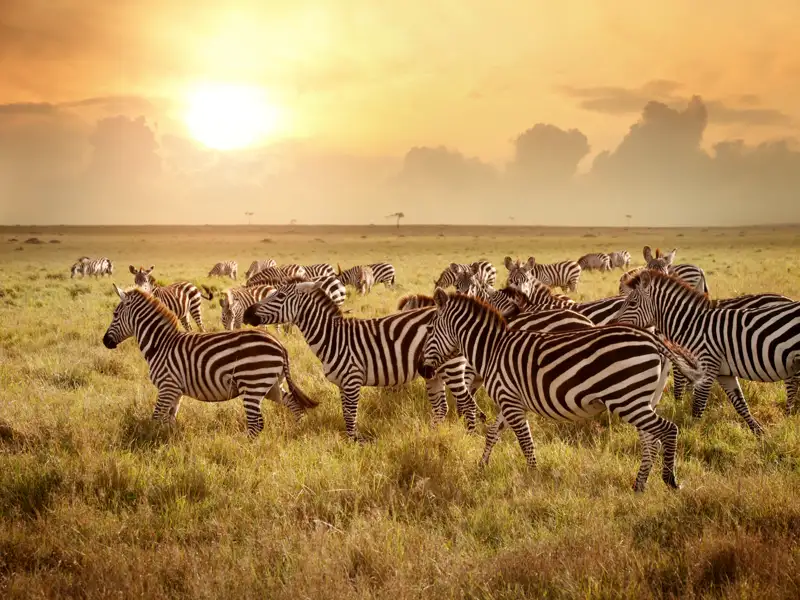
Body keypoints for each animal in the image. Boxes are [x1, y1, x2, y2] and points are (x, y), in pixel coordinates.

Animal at [103, 285, 318, 436]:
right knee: (293, 404)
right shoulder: (175, 390)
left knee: (256, 423)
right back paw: (297, 430)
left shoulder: (167, 386)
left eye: (115, 314)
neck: (161, 344)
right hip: (271, 384)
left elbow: (156, 418)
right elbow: (169, 419)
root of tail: (280, 345)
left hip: (252, 384)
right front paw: (167, 442)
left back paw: (243, 448)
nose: (105, 341)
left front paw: (151, 442)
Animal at [241, 281, 480, 437]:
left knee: (467, 404)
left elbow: (350, 416)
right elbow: (346, 414)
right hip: (434, 373)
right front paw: (351, 443)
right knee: (441, 408)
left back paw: (469, 436)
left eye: (279, 297)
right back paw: (432, 436)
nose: (246, 314)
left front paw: (355, 444)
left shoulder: (352, 379)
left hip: (451, 367)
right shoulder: (342, 384)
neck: (333, 338)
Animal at [419, 289, 703, 492]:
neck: (493, 350)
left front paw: (533, 479)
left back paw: (670, 480)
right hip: (642, 400)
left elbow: (526, 443)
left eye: (430, 329)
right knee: (651, 440)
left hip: (628, 399)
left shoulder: (510, 401)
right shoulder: (509, 401)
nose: (423, 370)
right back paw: (639, 486)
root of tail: (654, 339)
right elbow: (492, 433)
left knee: (668, 430)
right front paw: (481, 466)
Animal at [614, 271, 800, 431]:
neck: (692, 325)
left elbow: (697, 406)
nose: (613, 324)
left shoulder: (706, 367)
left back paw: (787, 419)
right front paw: (760, 433)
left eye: (632, 303)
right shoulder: (723, 372)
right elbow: (740, 404)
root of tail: (786, 299)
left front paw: (692, 436)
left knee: (792, 389)